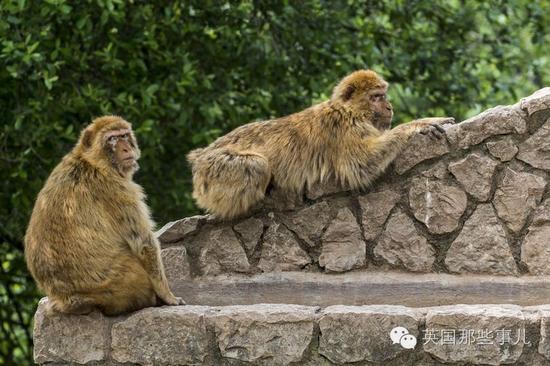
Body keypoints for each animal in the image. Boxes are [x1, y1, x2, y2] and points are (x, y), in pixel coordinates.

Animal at [24, 116, 185, 316]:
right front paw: (167, 295)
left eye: (124, 135)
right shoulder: (117, 188)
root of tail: (68, 300)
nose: (126, 148)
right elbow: (144, 243)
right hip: (125, 284)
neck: (91, 161)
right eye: (112, 139)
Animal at [188, 71, 454, 220]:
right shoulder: (344, 129)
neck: (352, 110)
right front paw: (419, 124)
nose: (389, 107)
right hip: (214, 170)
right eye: (377, 97)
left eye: (384, 95)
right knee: (257, 165)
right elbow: (361, 165)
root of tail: (200, 156)